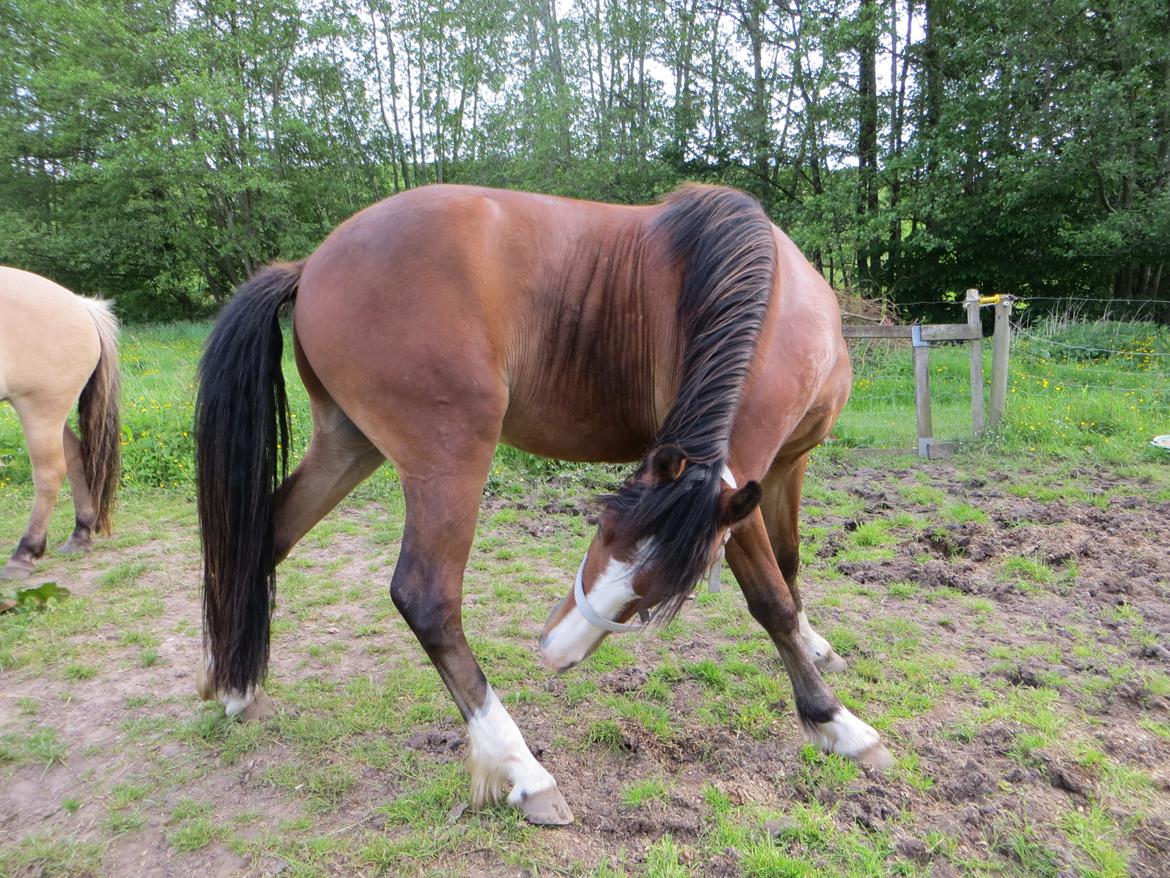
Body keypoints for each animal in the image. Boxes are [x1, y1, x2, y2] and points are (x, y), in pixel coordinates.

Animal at [0, 267, 121, 580]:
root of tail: (81, 306)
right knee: (76, 456)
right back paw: (80, 533)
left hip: (40, 410)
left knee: (50, 473)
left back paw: (25, 553)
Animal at [194, 183, 891, 826]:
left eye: (607, 523)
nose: (555, 652)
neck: (770, 292)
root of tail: (312, 263)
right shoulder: (734, 488)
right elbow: (769, 597)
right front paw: (837, 723)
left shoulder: (784, 467)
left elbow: (791, 567)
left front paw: (815, 645)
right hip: (449, 456)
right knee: (426, 598)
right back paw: (523, 770)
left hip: (348, 444)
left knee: (264, 538)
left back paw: (235, 685)